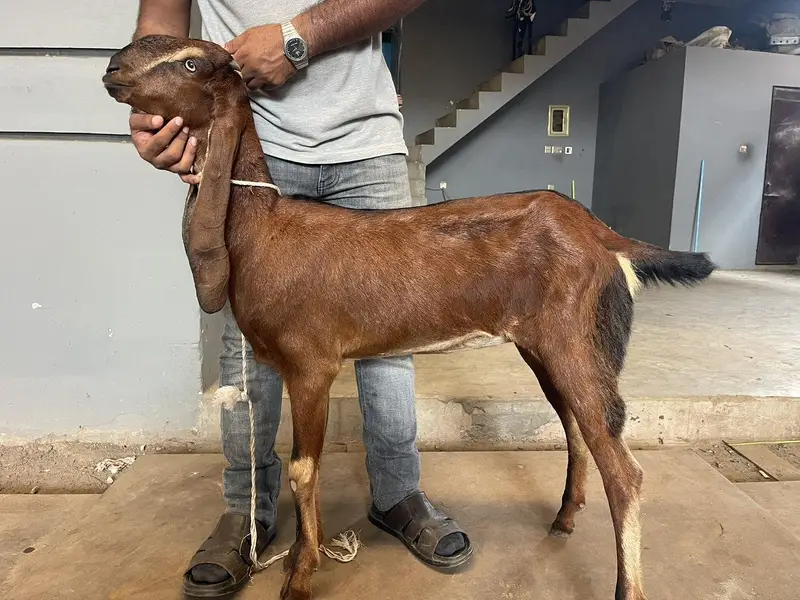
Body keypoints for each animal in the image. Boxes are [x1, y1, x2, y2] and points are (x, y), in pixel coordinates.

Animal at [102, 35, 716, 600]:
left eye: (190, 62)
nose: (112, 68)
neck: (264, 228)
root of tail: (602, 235)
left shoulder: (311, 365)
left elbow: (303, 470)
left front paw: (299, 576)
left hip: (578, 345)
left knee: (624, 469)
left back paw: (626, 585)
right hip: (544, 348)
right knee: (574, 427)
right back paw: (564, 518)